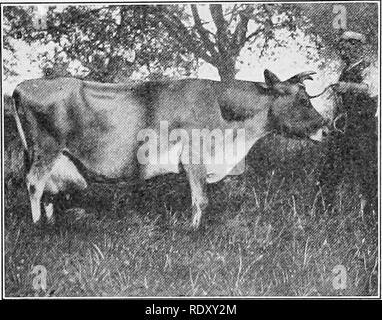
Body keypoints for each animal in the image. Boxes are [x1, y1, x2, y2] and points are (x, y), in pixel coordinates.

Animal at [12, 70, 328, 230]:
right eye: (303, 100)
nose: (327, 128)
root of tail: (21, 87)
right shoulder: (195, 160)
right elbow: (201, 201)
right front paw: (194, 232)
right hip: (45, 150)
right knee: (34, 185)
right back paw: (38, 227)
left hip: (53, 157)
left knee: (49, 190)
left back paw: (52, 226)